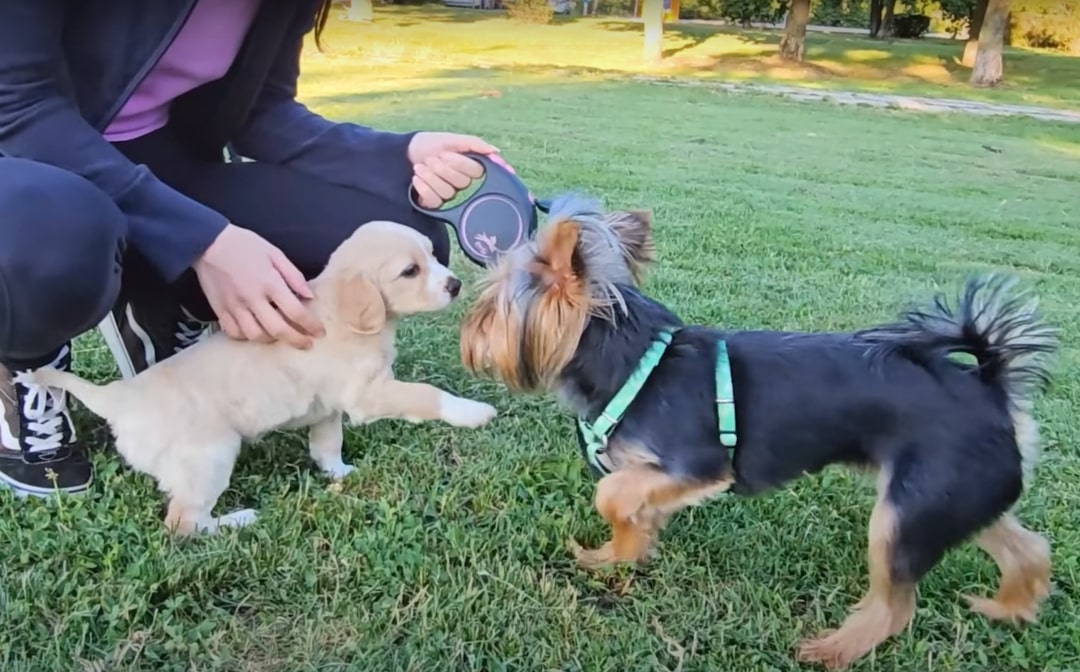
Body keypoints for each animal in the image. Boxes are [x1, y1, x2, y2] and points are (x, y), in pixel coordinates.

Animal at [21, 221, 494, 538]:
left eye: (431, 256)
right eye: (410, 271)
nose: (455, 285)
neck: (340, 313)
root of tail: (120, 397)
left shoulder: (330, 406)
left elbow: (328, 443)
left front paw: (337, 471)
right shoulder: (367, 395)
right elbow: (426, 394)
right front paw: (473, 412)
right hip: (210, 457)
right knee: (184, 523)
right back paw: (238, 520)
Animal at [460, 194, 1058, 669]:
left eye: (489, 309)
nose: (467, 334)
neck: (633, 361)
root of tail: (991, 386)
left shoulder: (696, 466)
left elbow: (610, 494)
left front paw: (619, 541)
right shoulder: (651, 473)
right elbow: (629, 514)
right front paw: (616, 557)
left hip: (905, 512)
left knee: (895, 605)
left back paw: (833, 651)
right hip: (947, 497)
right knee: (1026, 546)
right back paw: (1009, 607)